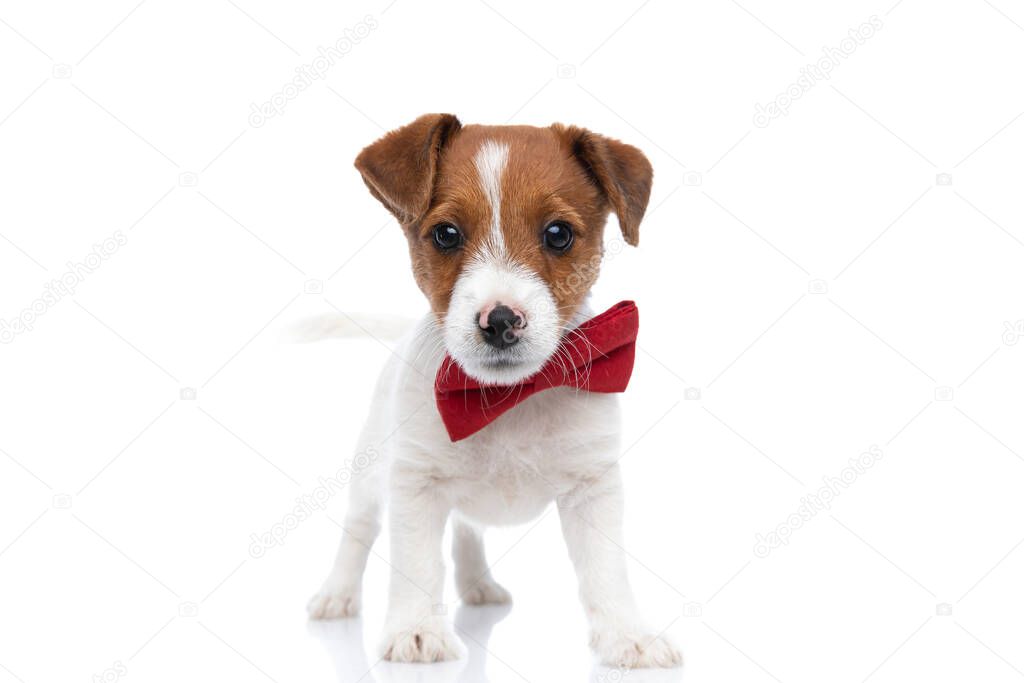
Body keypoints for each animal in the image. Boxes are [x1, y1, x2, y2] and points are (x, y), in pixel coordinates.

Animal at [307, 113, 684, 667]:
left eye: (558, 234)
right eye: (445, 234)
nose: (501, 320)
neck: (507, 400)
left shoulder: (593, 488)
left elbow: (605, 570)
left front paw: (627, 635)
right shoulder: (414, 486)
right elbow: (417, 564)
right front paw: (416, 629)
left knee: (467, 530)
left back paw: (478, 585)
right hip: (371, 475)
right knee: (358, 531)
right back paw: (336, 594)